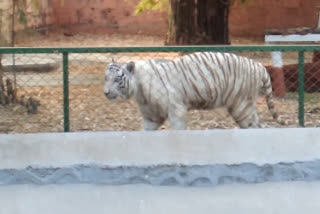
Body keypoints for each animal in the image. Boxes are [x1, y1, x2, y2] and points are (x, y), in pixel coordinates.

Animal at [104, 51, 286, 130]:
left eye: (117, 79)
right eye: (106, 78)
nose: (105, 92)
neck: (139, 91)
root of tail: (259, 66)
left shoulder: (176, 110)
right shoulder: (151, 117)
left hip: (241, 106)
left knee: (252, 126)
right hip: (247, 105)